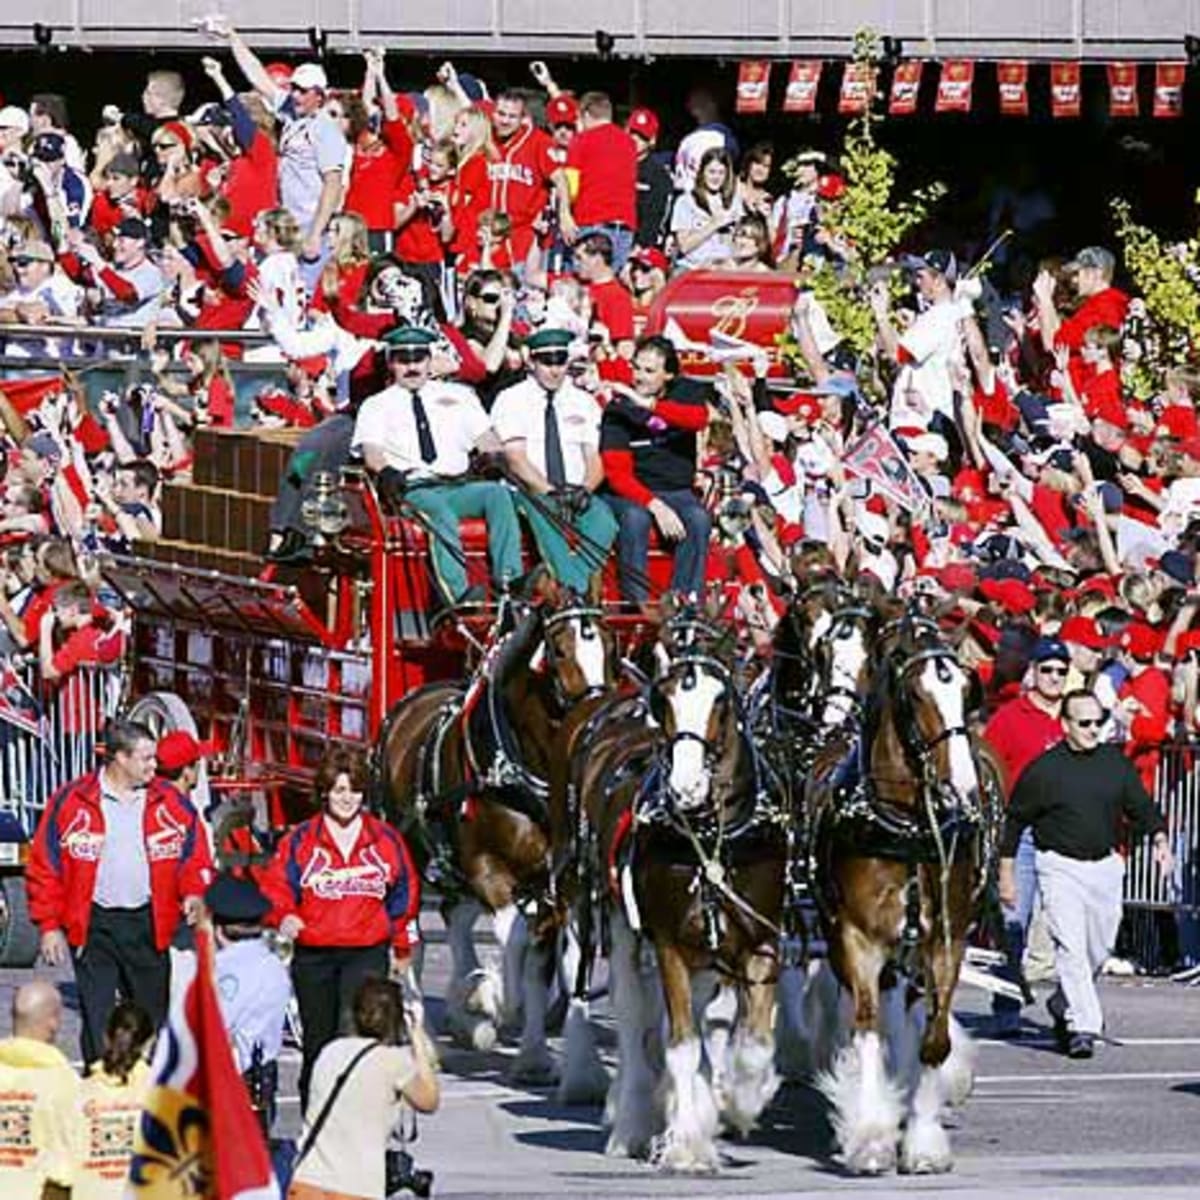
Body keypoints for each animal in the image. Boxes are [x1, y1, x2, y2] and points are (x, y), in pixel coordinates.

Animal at [374, 583, 619, 1070]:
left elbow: (545, 962)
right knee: (414, 942)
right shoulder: (490, 872)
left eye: (609, 645)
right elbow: (515, 939)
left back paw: (459, 1010)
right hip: (413, 859)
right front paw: (492, 999)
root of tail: (410, 702)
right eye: (559, 650)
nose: (596, 714)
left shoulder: (556, 883)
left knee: (454, 919)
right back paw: (427, 1035)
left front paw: (534, 1055)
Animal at [573, 614, 787, 1166]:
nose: (685, 789)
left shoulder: (760, 940)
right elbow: (682, 1044)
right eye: (664, 701)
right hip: (623, 928)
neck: (712, 839)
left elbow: (754, 1042)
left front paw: (738, 1102)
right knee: (634, 1019)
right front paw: (688, 1142)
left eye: (722, 702)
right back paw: (632, 1121)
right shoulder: (668, 943)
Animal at [806, 614, 1003, 1176]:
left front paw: (923, 1141)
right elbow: (868, 1029)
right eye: (915, 696)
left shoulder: (946, 941)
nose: (962, 789)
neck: (907, 825)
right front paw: (871, 1138)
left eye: (967, 690)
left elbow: (933, 1041)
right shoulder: (858, 940)